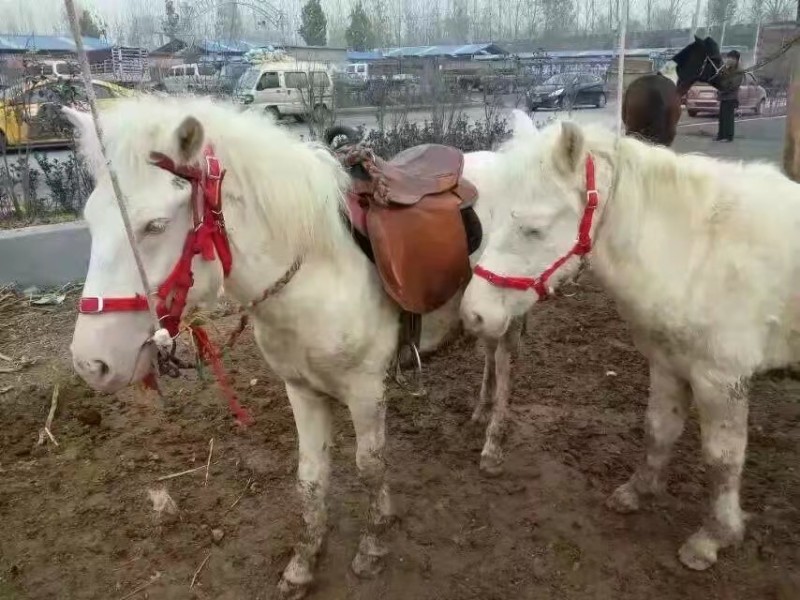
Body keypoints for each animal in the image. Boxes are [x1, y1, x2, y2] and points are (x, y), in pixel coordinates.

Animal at [64, 95, 529, 596]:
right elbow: (310, 479)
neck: (315, 272)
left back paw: (493, 444)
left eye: (154, 226)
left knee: (505, 366)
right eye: (90, 220)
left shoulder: (366, 390)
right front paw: (303, 564)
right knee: (487, 354)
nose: (91, 363)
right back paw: (480, 410)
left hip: (506, 313)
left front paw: (373, 545)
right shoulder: (301, 390)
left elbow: (370, 466)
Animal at [459, 118, 800, 571]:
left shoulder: (722, 379)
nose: (473, 314)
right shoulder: (668, 363)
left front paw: (713, 537)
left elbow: (722, 461)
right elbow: (658, 430)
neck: (699, 253)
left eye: (533, 228)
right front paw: (637, 491)